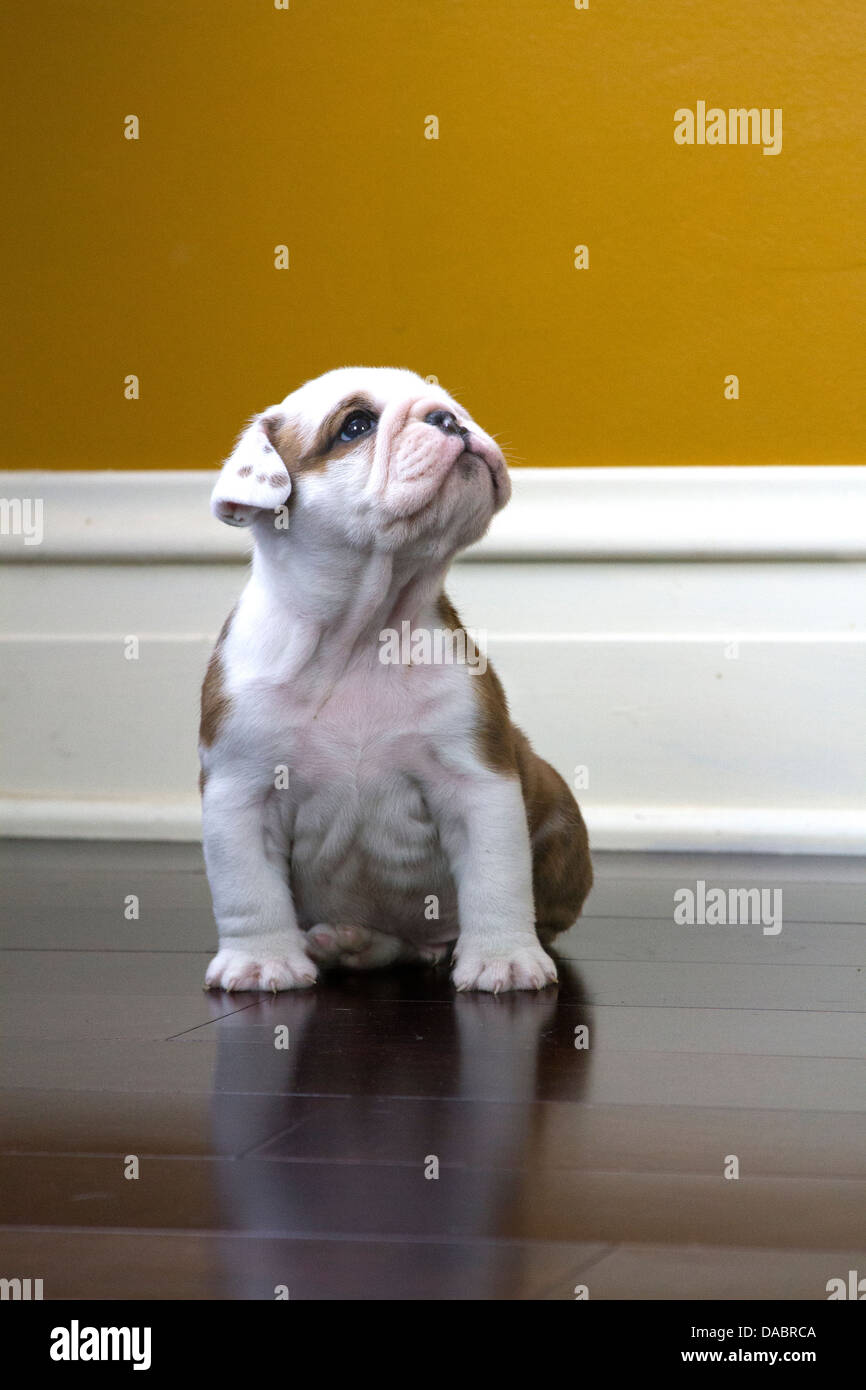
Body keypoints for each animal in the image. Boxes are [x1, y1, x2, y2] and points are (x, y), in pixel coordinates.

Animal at [201, 366, 594, 989]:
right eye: (355, 426)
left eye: (451, 406)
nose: (447, 419)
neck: (363, 633)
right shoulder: (240, 791)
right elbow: (248, 890)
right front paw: (261, 960)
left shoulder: (478, 782)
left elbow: (497, 880)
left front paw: (503, 958)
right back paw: (348, 942)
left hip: (554, 801)